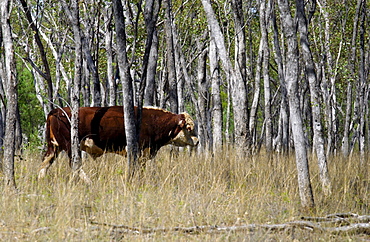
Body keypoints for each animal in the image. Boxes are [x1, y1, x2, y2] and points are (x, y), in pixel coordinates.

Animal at [38, 105, 198, 181]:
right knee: (75, 164)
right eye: (189, 128)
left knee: (45, 162)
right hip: (70, 146)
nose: (197, 141)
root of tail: (56, 111)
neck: (152, 120)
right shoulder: (139, 151)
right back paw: (89, 182)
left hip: (54, 146)